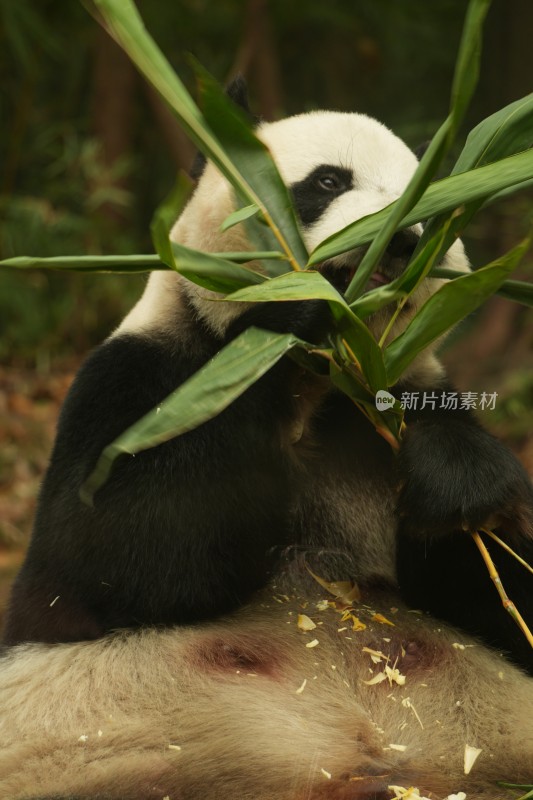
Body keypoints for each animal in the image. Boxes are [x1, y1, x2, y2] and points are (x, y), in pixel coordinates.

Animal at [1, 79, 532, 676]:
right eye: (328, 181)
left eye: (431, 206)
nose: (400, 240)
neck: (323, 378)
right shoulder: (143, 378)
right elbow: (112, 548)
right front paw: (293, 309)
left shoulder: (398, 394)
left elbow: (499, 594)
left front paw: (458, 478)